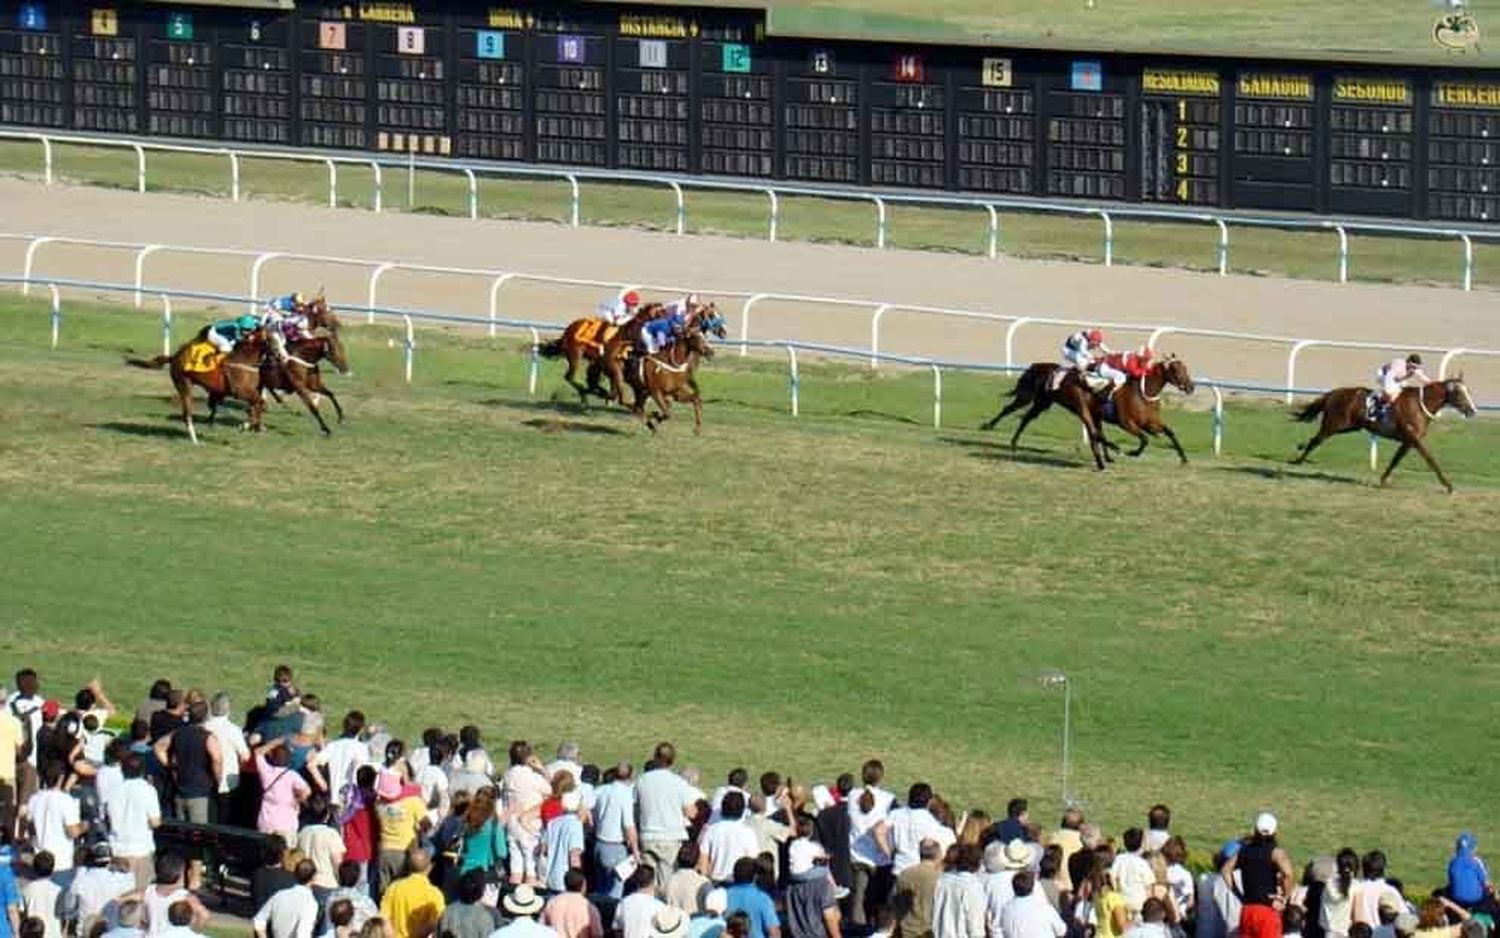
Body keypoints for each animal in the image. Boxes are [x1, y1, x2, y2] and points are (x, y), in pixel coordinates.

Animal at [1290, 375, 1476, 495]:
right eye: (1459, 393)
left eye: (1468, 391)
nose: (1472, 410)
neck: (1420, 405)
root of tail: (1333, 393)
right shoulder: (1414, 439)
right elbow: (1430, 459)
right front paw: (1448, 485)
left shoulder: (1408, 441)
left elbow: (1396, 460)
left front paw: (1383, 480)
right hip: (1333, 425)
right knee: (1316, 440)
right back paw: (1297, 460)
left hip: (1348, 427)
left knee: (1315, 440)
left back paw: (1299, 452)